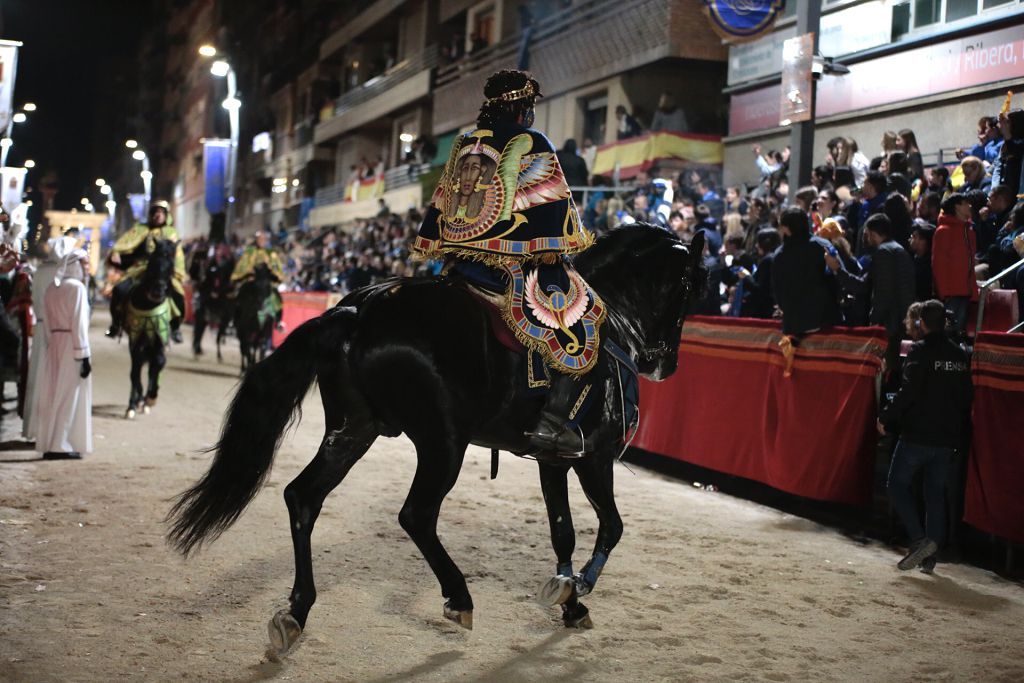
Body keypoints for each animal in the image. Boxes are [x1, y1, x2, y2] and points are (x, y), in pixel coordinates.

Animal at [123, 240, 178, 421]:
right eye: (153, 262)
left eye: (171, 266)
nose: (158, 292)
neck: (148, 305)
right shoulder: (135, 341)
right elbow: (134, 373)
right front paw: (135, 403)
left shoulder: (160, 338)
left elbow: (159, 363)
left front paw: (151, 398)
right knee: (137, 370)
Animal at [169, 227, 704, 655]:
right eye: (688, 286)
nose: (664, 363)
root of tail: (358, 309)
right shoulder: (595, 458)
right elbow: (611, 527)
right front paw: (581, 592)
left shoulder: (552, 460)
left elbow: (562, 532)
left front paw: (569, 599)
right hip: (442, 443)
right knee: (416, 515)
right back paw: (459, 598)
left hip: (353, 430)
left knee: (303, 497)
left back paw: (296, 612)